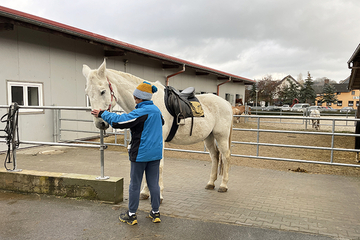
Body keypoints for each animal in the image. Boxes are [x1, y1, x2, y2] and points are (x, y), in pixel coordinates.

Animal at [82, 59, 233, 201]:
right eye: (87, 93)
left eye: (102, 91)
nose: (100, 123)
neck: (149, 105)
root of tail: (226, 103)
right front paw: (144, 192)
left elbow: (158, 166)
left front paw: (158, 195)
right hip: (209, 137)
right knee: (215, 156)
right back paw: (211, 183)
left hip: (221, 136)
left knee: (225, 156)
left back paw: (224, 185)